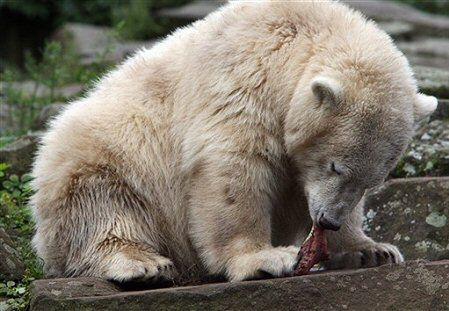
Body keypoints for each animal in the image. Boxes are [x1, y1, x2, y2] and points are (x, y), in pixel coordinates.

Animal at [32, 0, 438, 284]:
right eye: (335, 166)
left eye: (372, 181)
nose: (329, 220)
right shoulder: (242, 80)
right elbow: (234, 170)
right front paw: (266, 259)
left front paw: (373, 250)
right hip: (105, 153)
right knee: (103, 207)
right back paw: (142, 264)